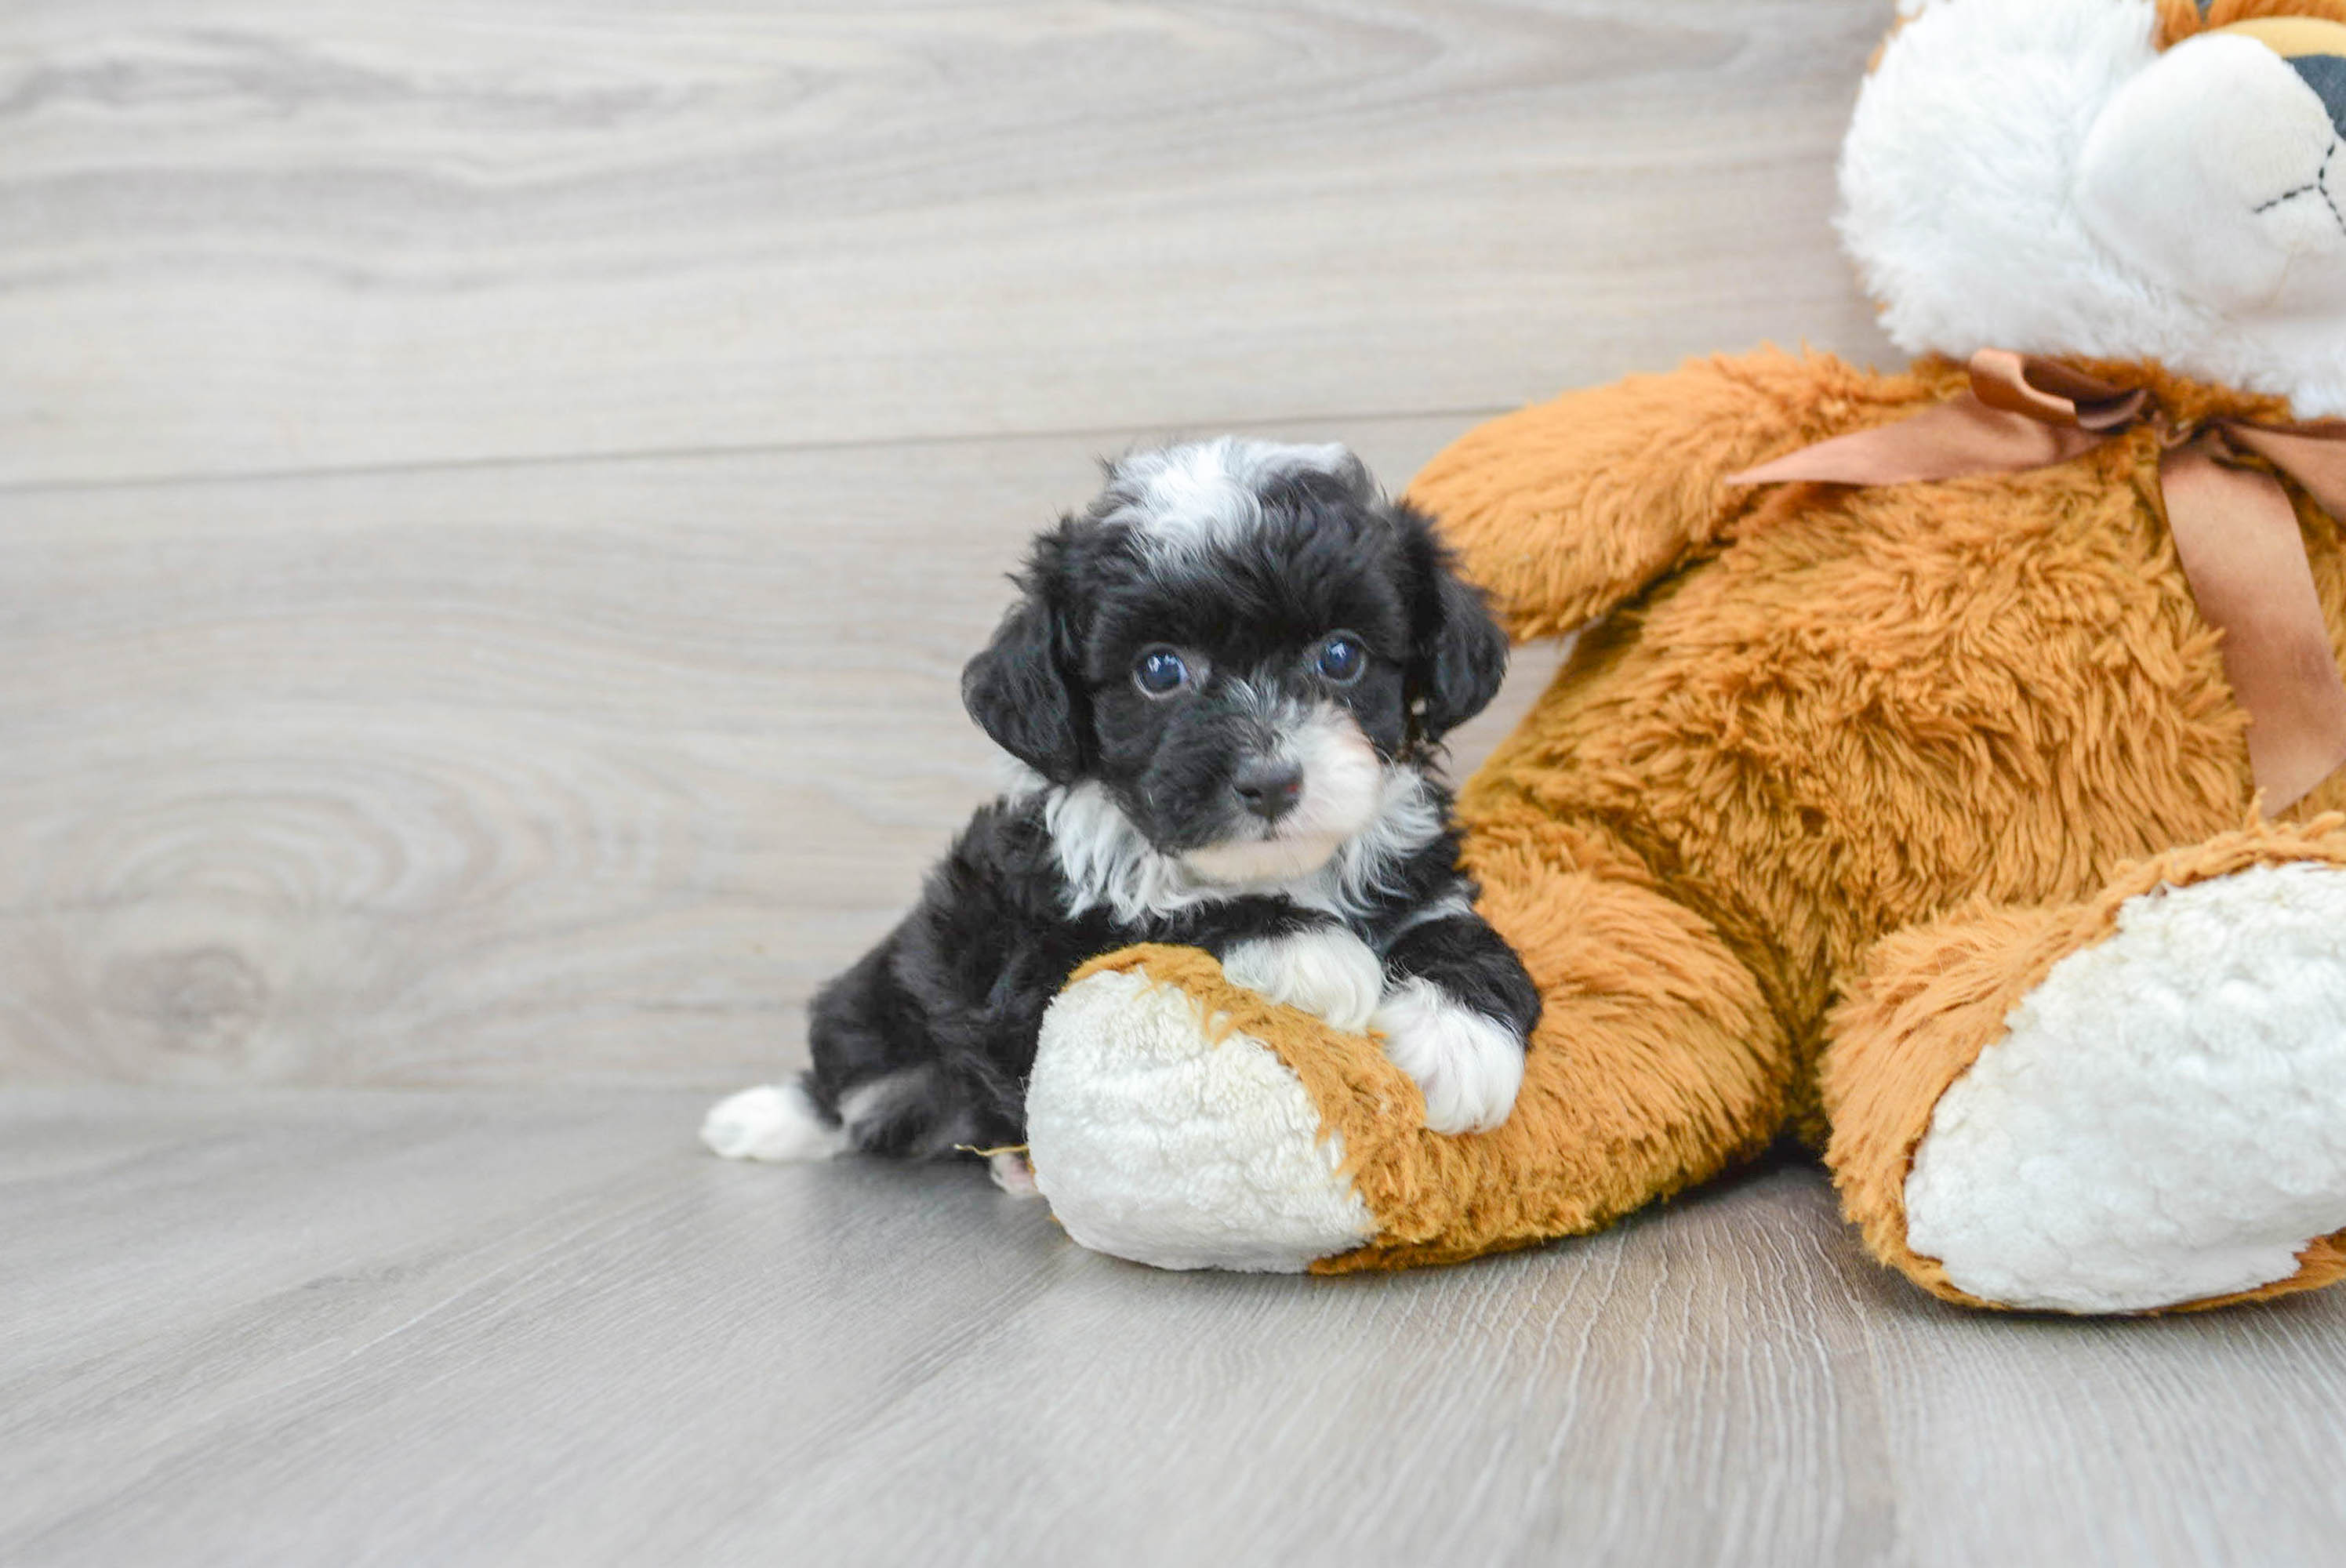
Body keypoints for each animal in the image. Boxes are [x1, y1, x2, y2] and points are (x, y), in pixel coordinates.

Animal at [699, 434, 1538, 1182]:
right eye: (1158, 671)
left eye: (1341, 655)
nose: (1270, 782)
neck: (1278, 871)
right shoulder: (1035, 950)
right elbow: (1154, 917)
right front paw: (1307, 950)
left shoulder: (1418, 879)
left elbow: (1462, 934)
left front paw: (1459, 1039)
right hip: (890, 995)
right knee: (846, 1083)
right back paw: (773, 1120)